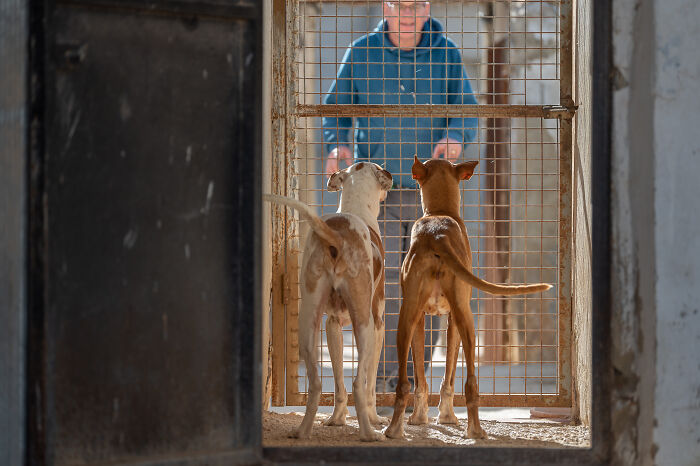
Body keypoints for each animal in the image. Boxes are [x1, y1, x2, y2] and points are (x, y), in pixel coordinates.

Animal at [264, 162, 392, 442]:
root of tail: (336, 234)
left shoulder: (332, 324)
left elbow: (338, 383)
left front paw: (336, 420)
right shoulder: (378, 326)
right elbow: (369, 382)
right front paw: (375, 418)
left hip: (308, 323)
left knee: (316, 384)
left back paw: (302, 431)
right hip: (364, 324)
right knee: (358, 383)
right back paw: (369, 433)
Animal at [382, 157, 552, 440]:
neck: (440, 213)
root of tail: (436, 234)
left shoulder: (423, 319)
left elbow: (423, 378)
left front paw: (423, 418)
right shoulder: (451, 319)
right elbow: (448, 376)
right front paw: (445, 417)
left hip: (405, 320)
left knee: (405, 383)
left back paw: (395, 429)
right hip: (466, 319)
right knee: (471, 382)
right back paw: (476, 430)